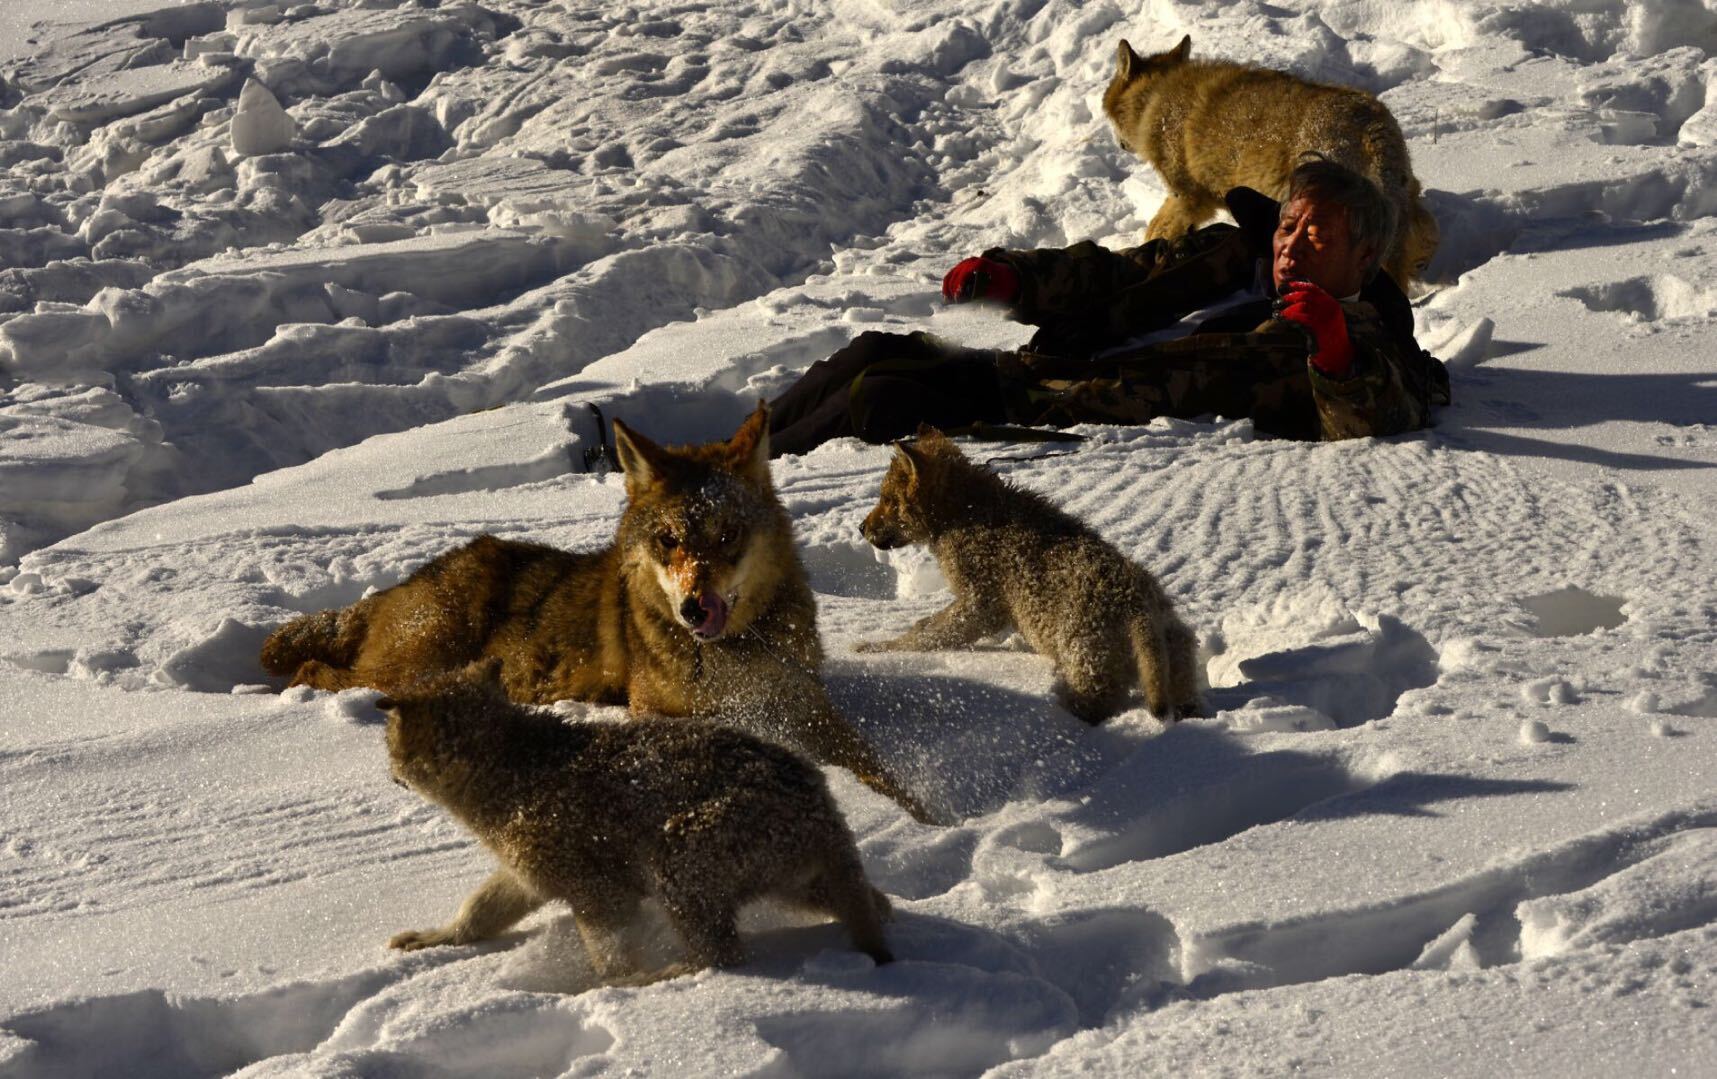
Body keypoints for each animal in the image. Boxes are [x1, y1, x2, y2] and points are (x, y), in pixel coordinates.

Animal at [255, 402, 934, 817]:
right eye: (668, 540)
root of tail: (399, 587)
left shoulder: (809, 707)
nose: (694, 609)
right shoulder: (662, 711)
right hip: (416, 663)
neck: (733, 654)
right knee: (316, 671)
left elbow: (881, 775)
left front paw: (924, 817)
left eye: (726, 535)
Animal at [381, 663, 892, 982]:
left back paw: (672, 975)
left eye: (388, 742)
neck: (509, 764)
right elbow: (480, 910)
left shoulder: (598, 889)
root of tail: (821, 806)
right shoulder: (525, 875)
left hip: (680, 858)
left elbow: (611, 956)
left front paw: (616, 986)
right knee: (876, 903)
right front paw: (436, 938)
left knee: (722, 953)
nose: (389, 774)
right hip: (794, 880)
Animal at [851, 429, 1201, 725]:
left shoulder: (980, 604)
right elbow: (926, 628)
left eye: (888, 500)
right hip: (1177, 662)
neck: (964, 510)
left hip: (1087, 668)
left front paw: (877, 649)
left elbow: (927, 634)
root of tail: (1139, 609)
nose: (861, 528)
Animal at [1098, 36, 1435, 285]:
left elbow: (1157, 230)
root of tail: (1368, 127)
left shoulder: (1188, 198)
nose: (1119, 144)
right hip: (1405, 203)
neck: (1156, 102)